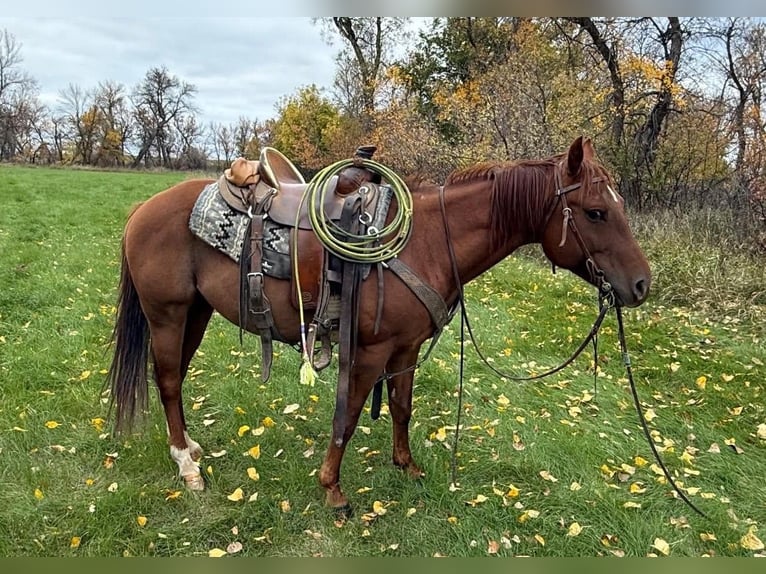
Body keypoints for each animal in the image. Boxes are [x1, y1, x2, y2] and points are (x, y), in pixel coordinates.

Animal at [106, 136, 651, 513]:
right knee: (169, 381)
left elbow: (402, 409)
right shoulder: (368, 352)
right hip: (168, 314)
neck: (425, 241)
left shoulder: (405, 349)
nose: (642, 285)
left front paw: (407, 466)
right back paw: (187, 466)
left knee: (173, 379)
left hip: (196, 313)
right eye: (596, 212)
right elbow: (347, 416)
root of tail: (140, 211)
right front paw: (333, 490)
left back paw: (188, 448)